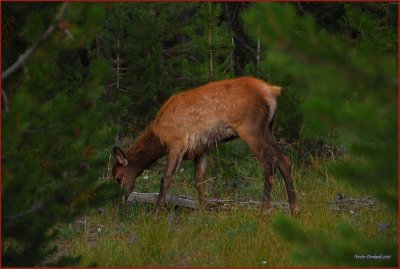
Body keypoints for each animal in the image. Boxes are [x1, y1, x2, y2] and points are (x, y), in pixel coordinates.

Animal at [111, 76, 298, 215]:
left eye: (118, 177)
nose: (117, 202)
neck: (159, 138)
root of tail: (271, 90)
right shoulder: (200, 149)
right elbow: (199, 178)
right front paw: (202, 210)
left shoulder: (177, 143)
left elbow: (166, 178)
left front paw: (156, 214)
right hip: (268, 128)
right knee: (284, 159)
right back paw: (294, 209)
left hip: (251, 128)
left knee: (269, 162)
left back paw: (264, 211)